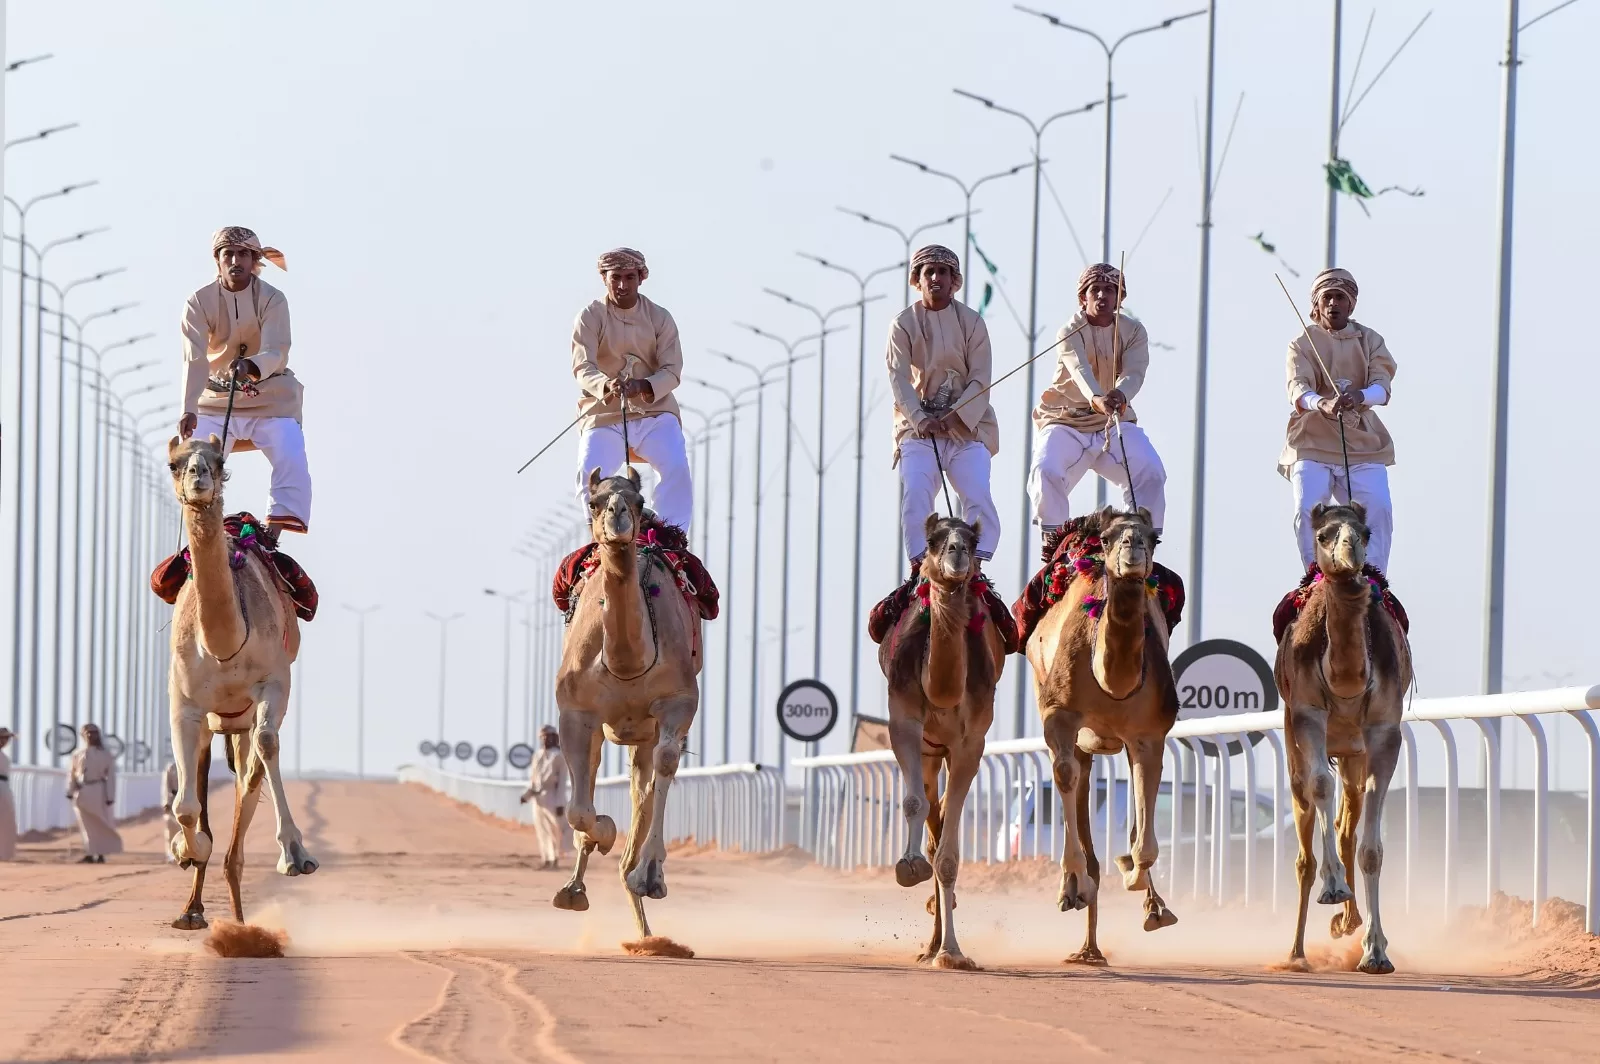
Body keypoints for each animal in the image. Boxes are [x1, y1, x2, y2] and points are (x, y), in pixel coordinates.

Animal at [165, 434, 316, 930]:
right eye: (175, 463)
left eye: (219, 462)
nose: (199, 477)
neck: (223, 644)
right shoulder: (185, 704)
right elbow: (186, 805)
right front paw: (184, 848)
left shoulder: (274, 683)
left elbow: (268, 747)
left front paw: (295, 854)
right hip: (218, 724)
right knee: (205, 789)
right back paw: (193, 909)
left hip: (243, 721)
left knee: (250, 776)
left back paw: (239, 919)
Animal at [552, 467, 701, 945]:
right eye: (594, 501)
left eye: (637, 500)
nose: (618, 515)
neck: (626, 662)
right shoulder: (576, 713)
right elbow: (579, 809)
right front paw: (601, 835)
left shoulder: (678, 702)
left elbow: (666, 766)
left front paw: (649, 876)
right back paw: (578, 886)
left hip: (646, 729)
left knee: (646, 785)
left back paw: (642, 908)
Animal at [879, 515, 1005, 970]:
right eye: (934, 540)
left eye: (971, 539)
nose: (957, 553)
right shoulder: (903, 722)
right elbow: (915, 804)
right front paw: (908, 865)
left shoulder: (971, 743)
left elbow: (948, 854)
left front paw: (953, 953)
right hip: (930, 751)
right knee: (931, 812)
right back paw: (928, 939)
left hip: (946, 750)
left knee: (942, 826)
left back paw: (937, 943)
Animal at [1025, 507, 1179, 964]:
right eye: (1111, 538)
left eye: (1153, 537)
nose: (1133, 548)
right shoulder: (1059, 716)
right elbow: (1062, 777)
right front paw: (1074, 884)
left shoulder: (1149, 733)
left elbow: (1145, 840)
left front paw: (1134, 877)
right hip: (1065, 723)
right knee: (1072, 778)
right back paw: (1079, 904)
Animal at [1276, 502, 1410, 975]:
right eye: (1324, 534)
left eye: (1365, 533)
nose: (1351, 557)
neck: (1347, 679)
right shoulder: (1307, 715)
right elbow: (1320, 786)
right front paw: (1332, 887)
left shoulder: (1385, 733)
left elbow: (1371, 847)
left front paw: (1376, 951)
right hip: (1293, 741)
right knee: (1304, 841)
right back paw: (1296, 952)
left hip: (1353, 752)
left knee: (1346, 822)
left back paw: (1347, 922)